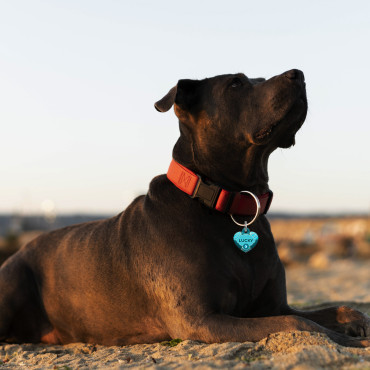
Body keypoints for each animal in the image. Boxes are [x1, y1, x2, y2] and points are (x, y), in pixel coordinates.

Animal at [0, 70, 370, 346]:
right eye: (236, 83)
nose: (299, 74)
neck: (231, 204)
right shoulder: (202, 319)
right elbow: (300, 325)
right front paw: (353, 342)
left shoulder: (272, 305)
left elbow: (331, 311)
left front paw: (356, 322)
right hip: (13, 283)